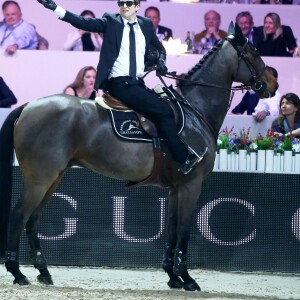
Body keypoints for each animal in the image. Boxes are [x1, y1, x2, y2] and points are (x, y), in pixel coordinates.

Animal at [0, 23, 276, 290]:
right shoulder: (191, 185)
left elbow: (172, 230)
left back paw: (43, 272)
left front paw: (172, 277)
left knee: (32, 220)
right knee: (18, 216)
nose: (273, 82)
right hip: (40, 179)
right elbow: (184, 231)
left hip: (54, 177)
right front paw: (187, 278)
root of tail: (28, 106)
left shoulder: (175, 189)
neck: (194, 110)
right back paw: (17, 272)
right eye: (253, 51)